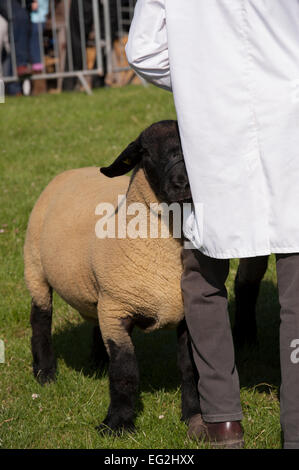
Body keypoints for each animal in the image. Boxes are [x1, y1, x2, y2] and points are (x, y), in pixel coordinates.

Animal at [23, 120, 202, 434]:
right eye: (146, 153)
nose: (183, 183)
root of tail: (73, 170)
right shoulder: (117, 310)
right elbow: (124, 371)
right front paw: (117, 425)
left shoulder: (182, 313)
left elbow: (189, 367)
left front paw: (192, 415)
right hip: (35, 267)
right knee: (40, 320)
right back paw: (45, 373)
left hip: (96, 294)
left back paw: (96, 364)